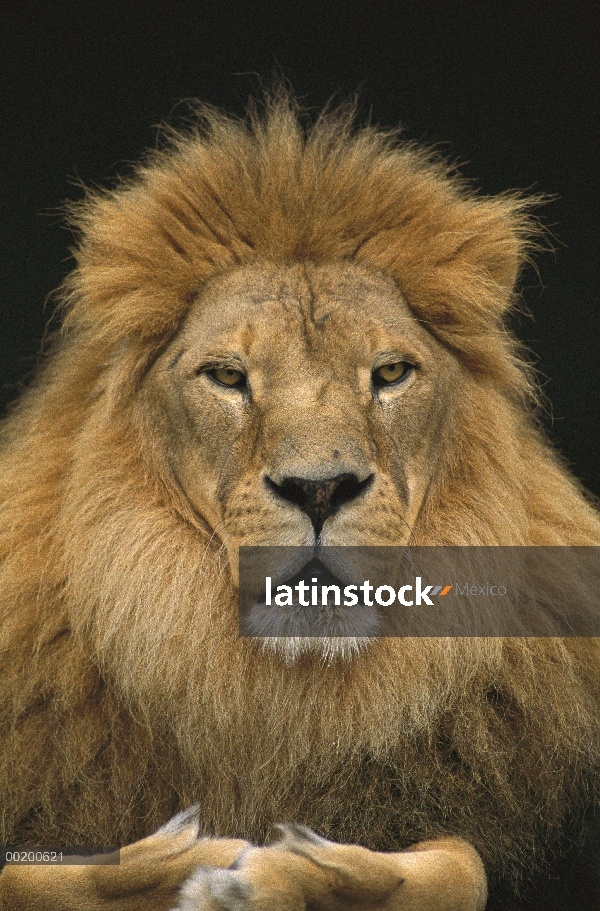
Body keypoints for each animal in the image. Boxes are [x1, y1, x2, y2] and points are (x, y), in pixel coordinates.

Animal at [0, 94, 596, 911]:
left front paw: (301, 870)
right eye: (227, 376)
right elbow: (31, 872)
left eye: (390, 372)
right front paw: (175, 860)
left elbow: (460, 864)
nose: (320, 488)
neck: (281, 699)